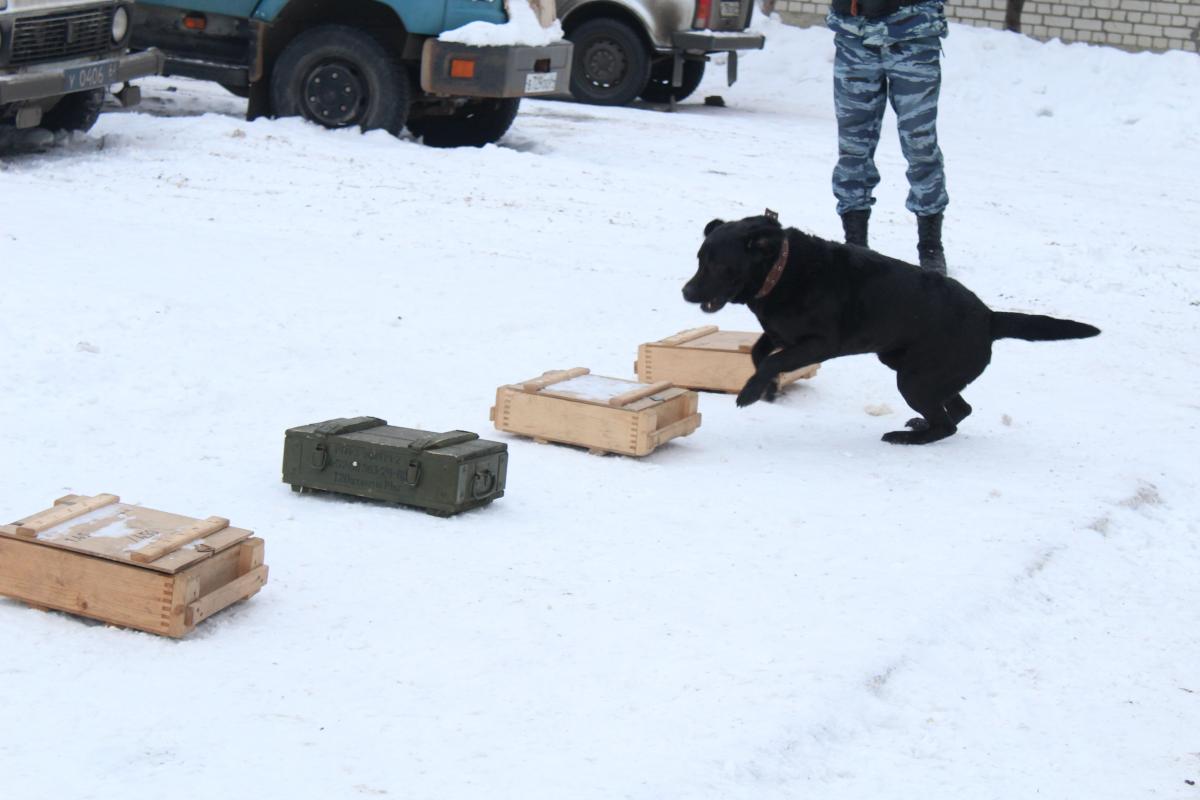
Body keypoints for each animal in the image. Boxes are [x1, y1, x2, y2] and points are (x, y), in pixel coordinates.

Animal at [681, 214, 1099, 443]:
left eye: (718, 265)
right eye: (699, 258)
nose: (686, 291)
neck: (780, 272)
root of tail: (990, 317)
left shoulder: (819, 343)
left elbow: (771, 361)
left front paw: (750, 394)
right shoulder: (779, 334)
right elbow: (758, 354)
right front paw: (765, 389)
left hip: (915, 379)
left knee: (949, 424)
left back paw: (907, 438)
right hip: (915, 370)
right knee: (959, 409)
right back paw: (919, 427)